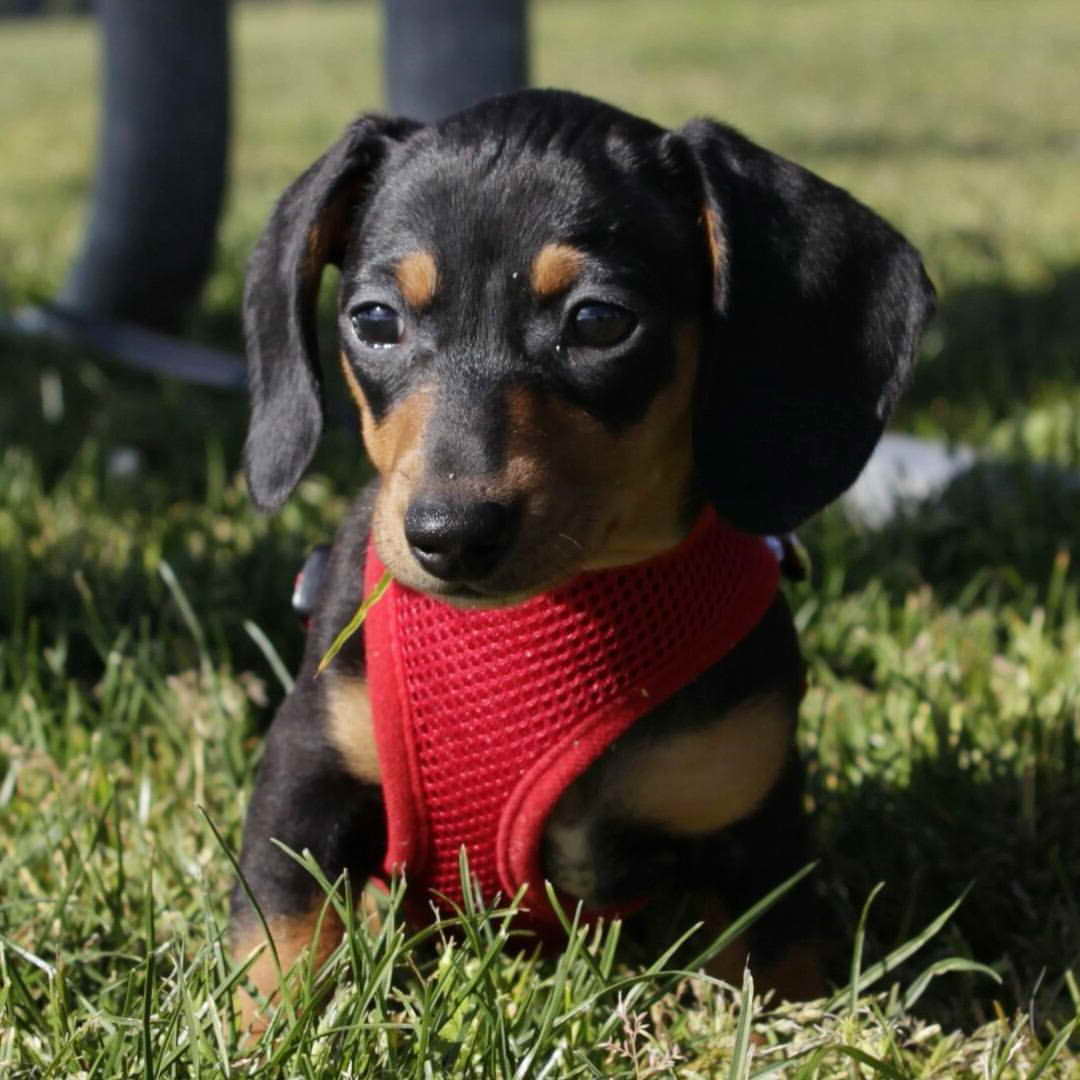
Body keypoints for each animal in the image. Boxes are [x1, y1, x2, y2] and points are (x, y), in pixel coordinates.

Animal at [234, 86, 937, 1028]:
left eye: (599, 323)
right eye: (374, 320)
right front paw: (257, 1033)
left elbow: (781, 982)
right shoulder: (304, 774)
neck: (551, 611)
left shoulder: (757, 830)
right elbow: (279, 940)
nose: (451, 533)